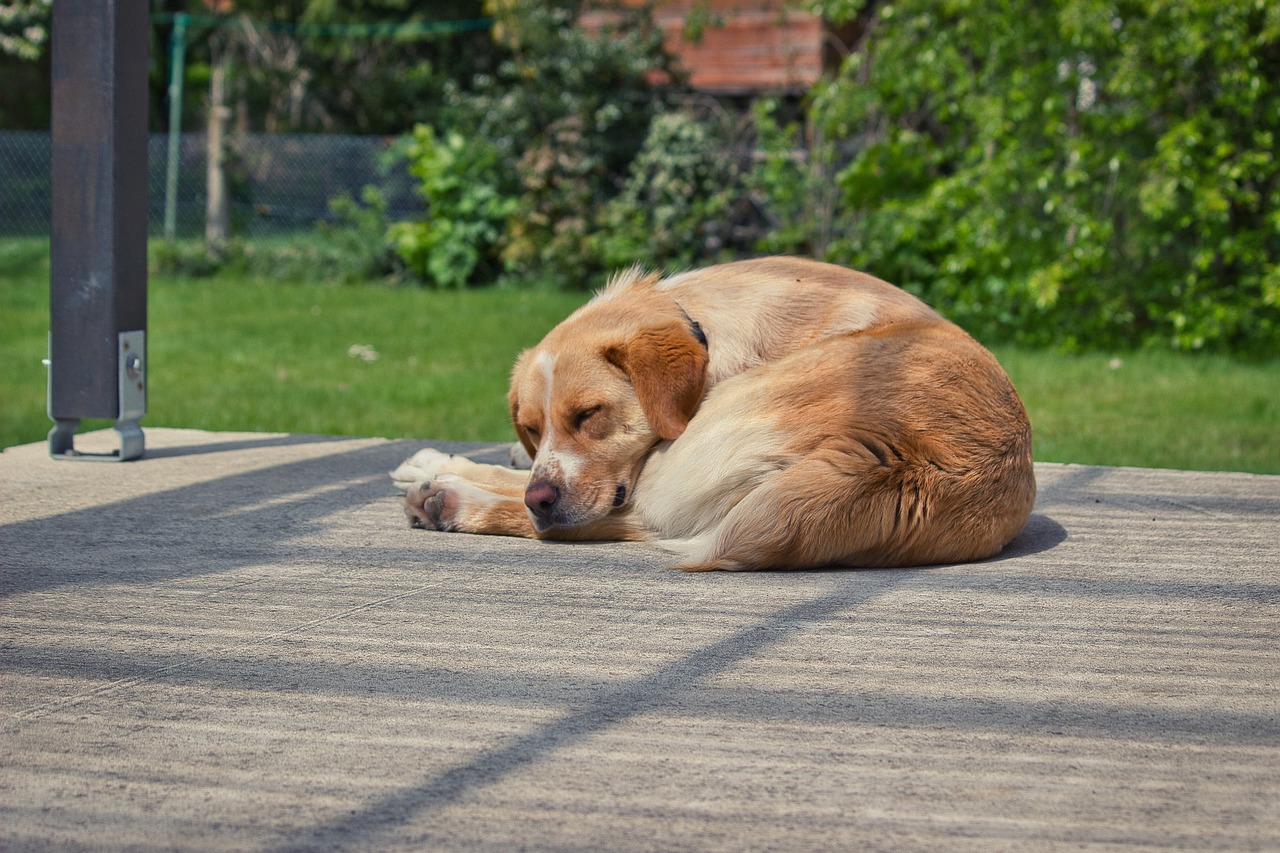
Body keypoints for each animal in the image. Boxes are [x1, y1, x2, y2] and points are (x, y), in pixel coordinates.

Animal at [386, 256, 1029, 568]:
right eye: (531, 427)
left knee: (607, 524)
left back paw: (448, 502)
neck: (699, 321)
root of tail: (906, 463)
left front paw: (443, 471)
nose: (543, 497)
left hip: (680, 461)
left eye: (589, 415)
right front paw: (434, 460)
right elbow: (518, 466)